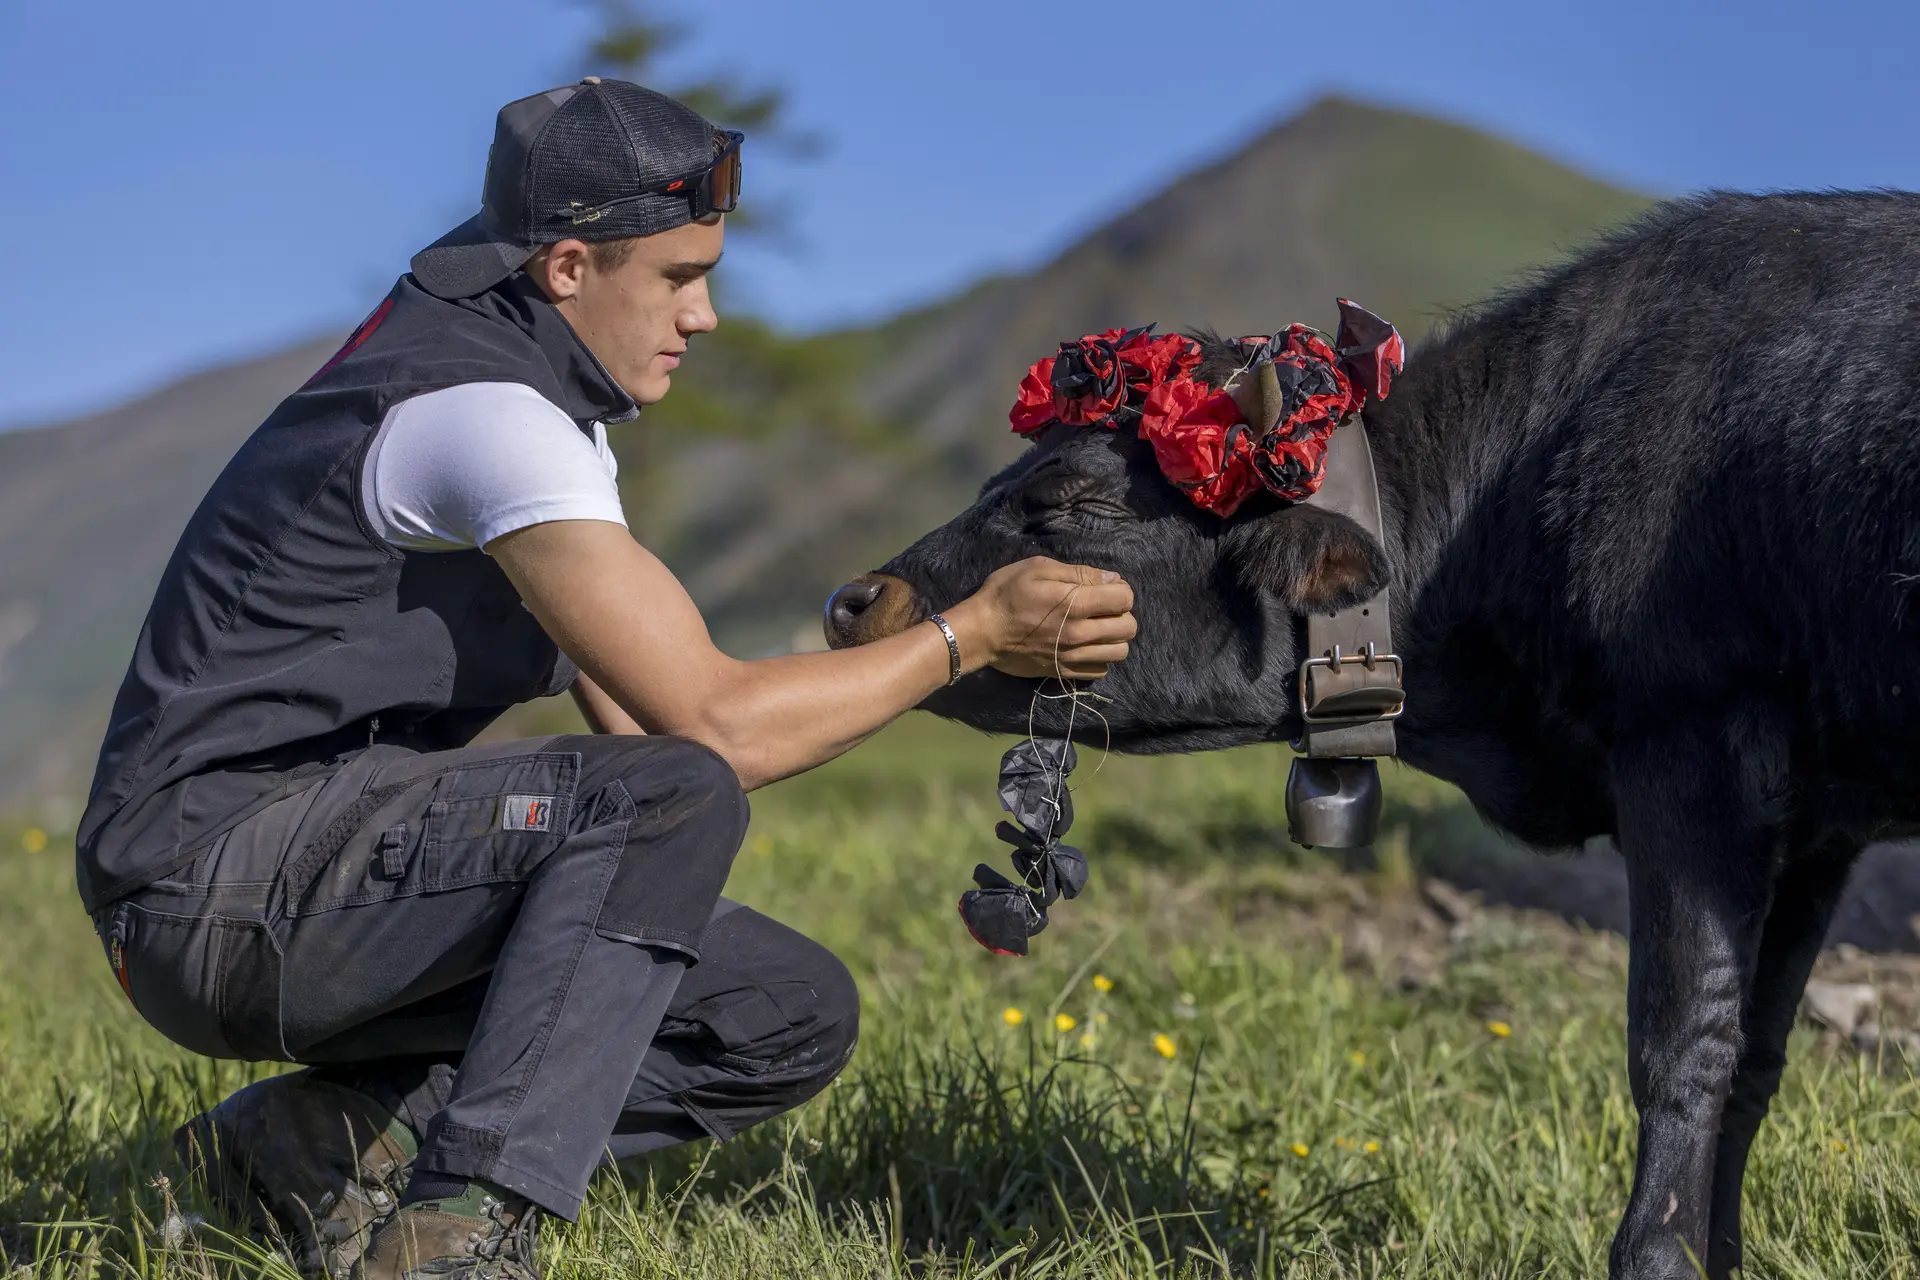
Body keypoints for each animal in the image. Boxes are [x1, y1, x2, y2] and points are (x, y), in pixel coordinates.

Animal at [822, 192, 1920, 1280]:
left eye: (1073, 500)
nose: (852, 600)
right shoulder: (1816, 826)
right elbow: (1755, 1059)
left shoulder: (1692, 750)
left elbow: (1683, 1045)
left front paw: (1660, 1253)